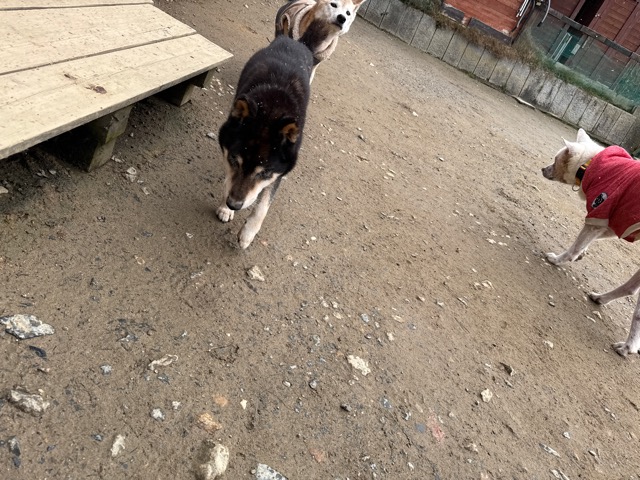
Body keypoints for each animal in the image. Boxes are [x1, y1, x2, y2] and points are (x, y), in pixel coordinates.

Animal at [216, 35, 313, 249]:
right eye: (234, 160)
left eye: (265, 172)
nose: (234, 204)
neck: (271, 110)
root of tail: (291, 40)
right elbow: (228, 181)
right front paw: (225, 208)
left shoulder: (277, 174)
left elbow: (262, 207)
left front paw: (247, 233)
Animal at [542, 128, 640, 357]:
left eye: (555, 160)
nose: (542, 169)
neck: (591, 163)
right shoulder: (611, 223)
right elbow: (588, 241)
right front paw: (582, 254)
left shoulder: (600, 212)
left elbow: (575, 245)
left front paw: (558, 259)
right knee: (630, 288)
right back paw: (600, 298)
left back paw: (627, 347)